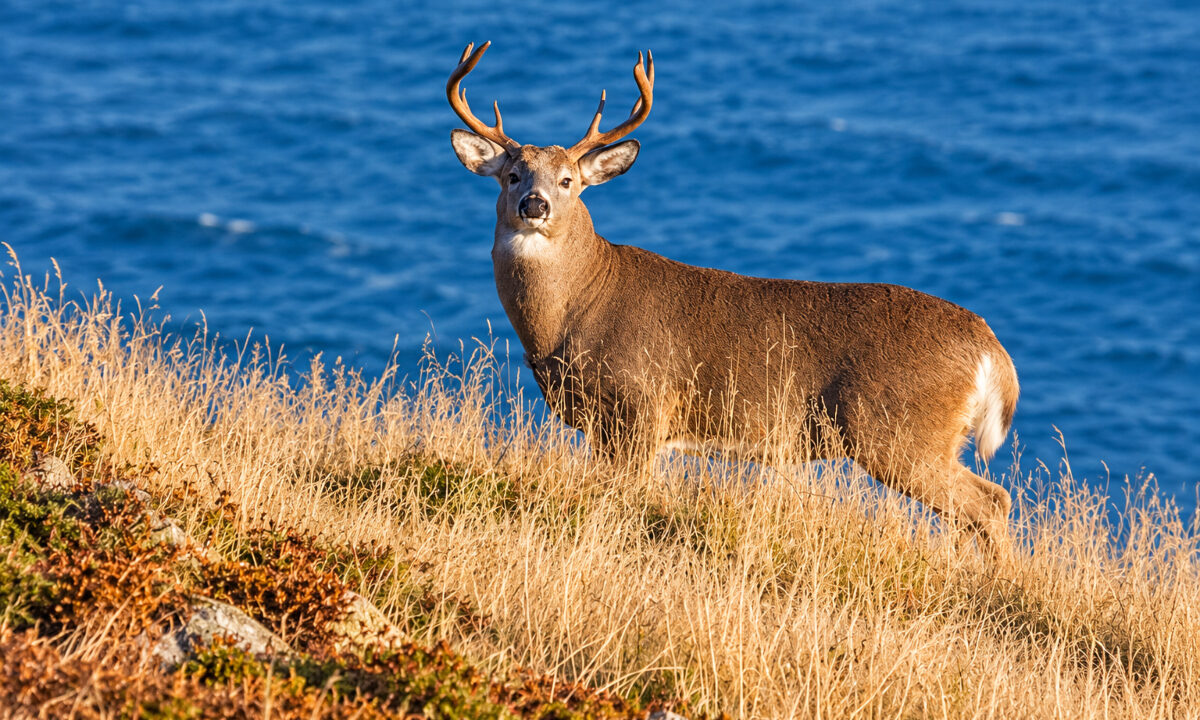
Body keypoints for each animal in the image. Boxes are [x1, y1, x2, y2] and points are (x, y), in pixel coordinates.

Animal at [447, 42, 1020, 552]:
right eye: (512, 174)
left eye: (568, 180)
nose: (535, 204)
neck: (574, 310)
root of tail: (990, 349)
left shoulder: (642, 408)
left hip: (896, 431)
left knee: (991, 502)